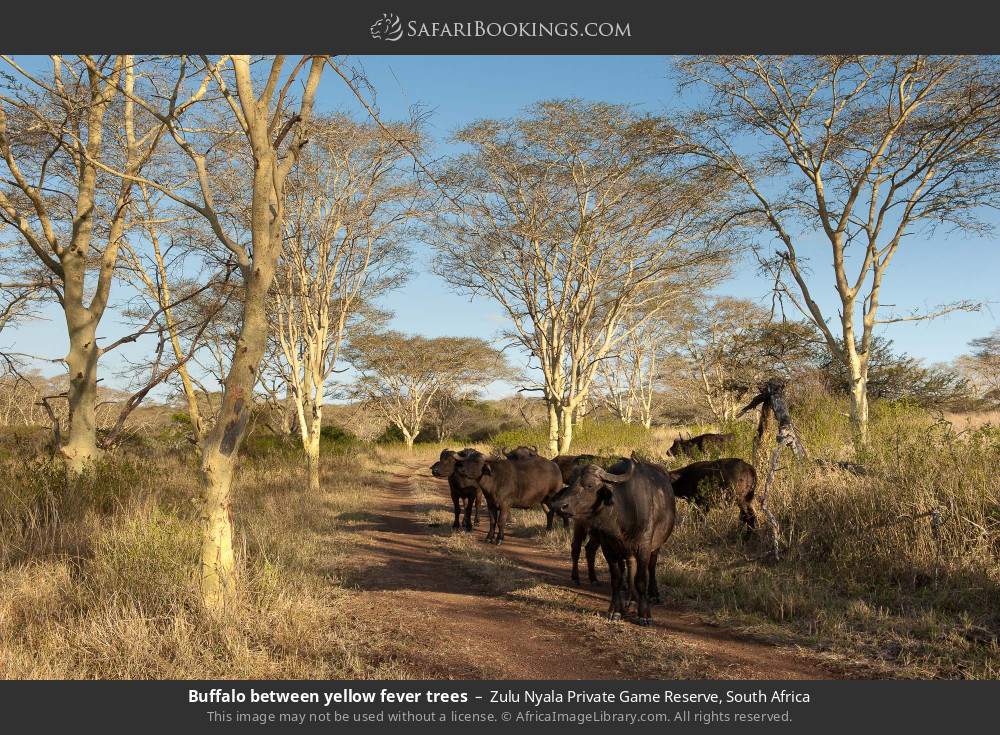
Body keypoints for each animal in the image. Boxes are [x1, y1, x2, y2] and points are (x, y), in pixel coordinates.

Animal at [550, 459, 676, 625]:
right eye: (570, 484)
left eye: (589, 485)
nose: (559, 506)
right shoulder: (608, 548)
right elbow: (616, 579)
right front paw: (615, 610)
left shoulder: (643, 547)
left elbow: (641, 579)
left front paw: (644, 614)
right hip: (581, 526)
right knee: (578, 548)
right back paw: (579, 578)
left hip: (655, 545)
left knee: (651, 566)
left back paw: (649, 595)